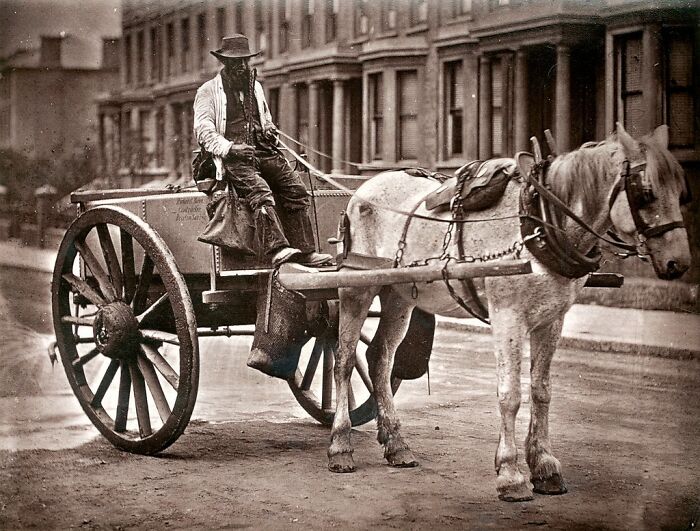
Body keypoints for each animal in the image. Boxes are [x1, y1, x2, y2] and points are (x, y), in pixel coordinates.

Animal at [327, 123, 691, 502]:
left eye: (681, 193)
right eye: (646, 193)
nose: (678, 263)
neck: (540, 222)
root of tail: (361, 191)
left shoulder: (552, 319)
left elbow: (542, 391)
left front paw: (544, 465)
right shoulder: (508, 316)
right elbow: (510, 394)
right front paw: (511, 473)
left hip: (398, 293)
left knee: (380, 359)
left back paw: (396, 443)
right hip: (355, 287)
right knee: (344, 361)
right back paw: (340, 445)